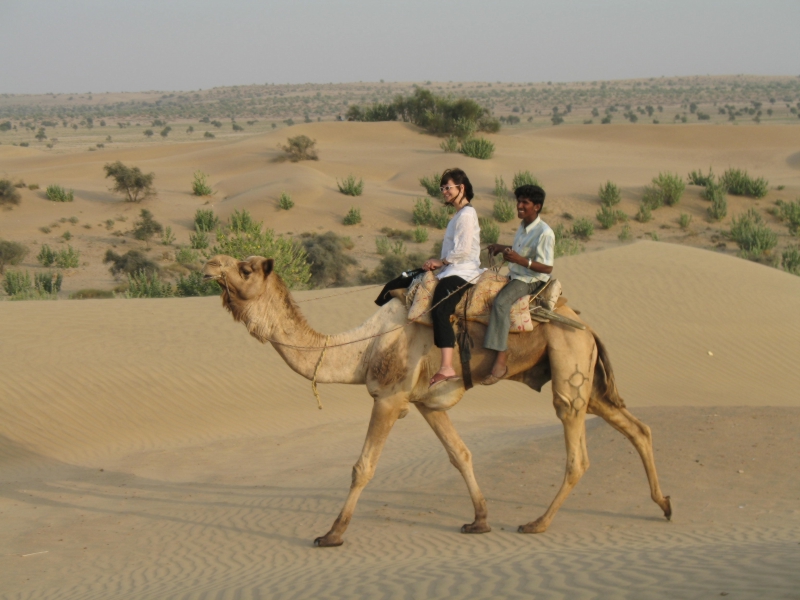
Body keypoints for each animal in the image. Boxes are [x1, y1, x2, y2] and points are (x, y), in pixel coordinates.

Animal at [203, 255, 672, 548]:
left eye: (245, 267)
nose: (208, 263)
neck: (362, 348)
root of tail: (587, 327)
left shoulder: (389, 397)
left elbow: (362, 467)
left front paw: (331, 534)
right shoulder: (428, 403)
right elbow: (461, 455)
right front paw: (479, 520)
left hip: (569, 366)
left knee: (577, 452)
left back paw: (537, 523)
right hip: (583, 377)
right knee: (636, 427)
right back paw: (664, 504)